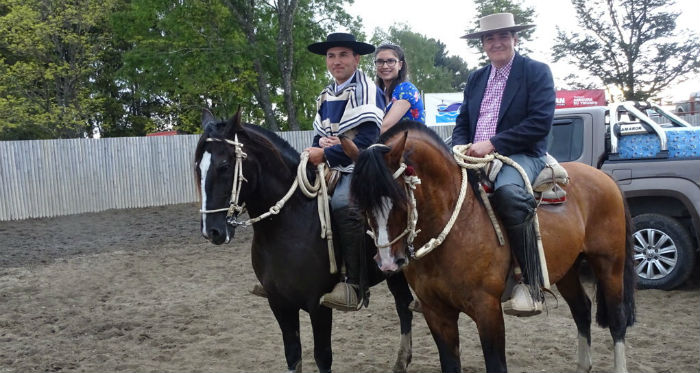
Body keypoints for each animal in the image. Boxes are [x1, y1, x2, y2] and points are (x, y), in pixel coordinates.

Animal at [194, 109, 416, 372]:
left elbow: (322, 357)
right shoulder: (279, 304)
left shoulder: (318, 306)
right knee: (404, 305)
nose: (212, 231)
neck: (289, 223)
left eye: (224, 166)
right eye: (198, 167)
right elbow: (293, 354)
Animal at [344, 121, 636, 372]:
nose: (388, 262)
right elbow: (450, 364)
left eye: (400, 199)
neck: (455, 225)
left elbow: (496, 364)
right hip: (567, 269)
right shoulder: (436, 312)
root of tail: (605, 178)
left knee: (617, 320)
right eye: (360, 203)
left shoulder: (487, 310)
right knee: (582, 310)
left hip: (609, 264)